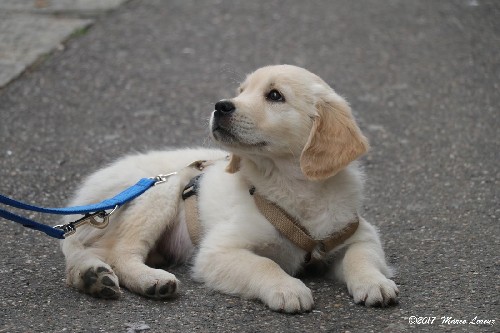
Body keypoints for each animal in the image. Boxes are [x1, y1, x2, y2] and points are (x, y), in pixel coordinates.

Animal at [60, 64, 400, 312]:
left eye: (275, 95)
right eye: (241, 91)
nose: (220, 106)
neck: (291, 186)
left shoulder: (358, 232)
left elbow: (361, 256)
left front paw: (374, 282)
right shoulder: (218, 251)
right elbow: (263, 263)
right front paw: (286, 287)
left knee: (91, 254)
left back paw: (93, 277)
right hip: (159, 192)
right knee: (119, 253)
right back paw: (147, 280)